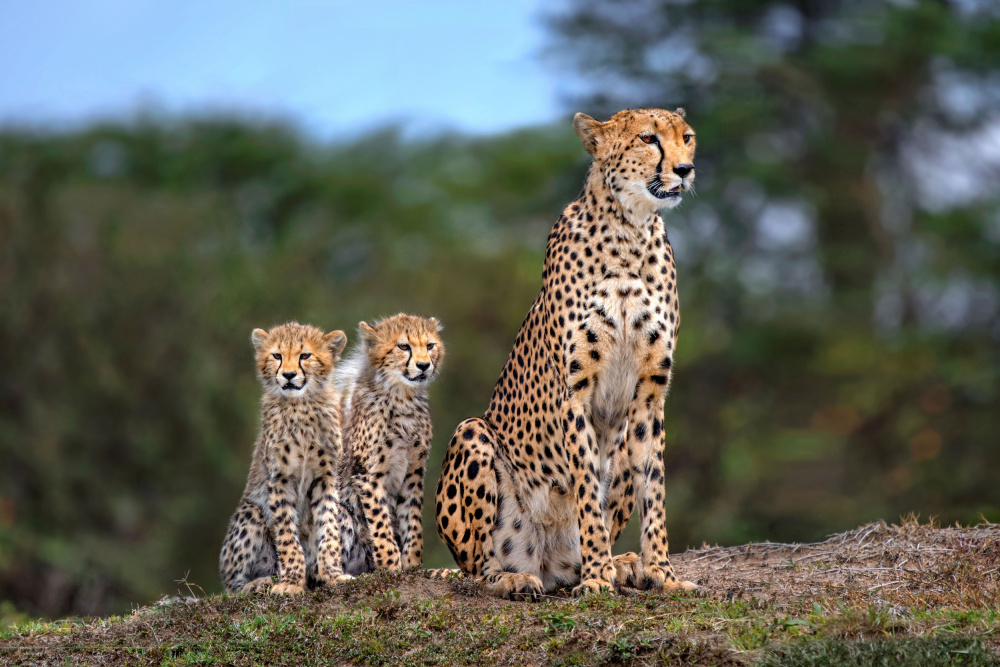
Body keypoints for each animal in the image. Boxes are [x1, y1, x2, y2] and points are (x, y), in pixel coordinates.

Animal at [219, 322, 351, 595]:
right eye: (277, 356)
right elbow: (288, 535)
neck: (299, 406)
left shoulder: (326, 478)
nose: (289, 375)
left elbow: (329, 528)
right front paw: (290, 582)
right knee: (231, 586)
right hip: (251, 512)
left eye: (305, 355)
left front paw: (333, 575)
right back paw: (259, 583)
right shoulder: (279, 479)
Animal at [335, 314, 445, 575]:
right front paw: (391, 565)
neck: (402, 397)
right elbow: (380, 520)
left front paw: (412, 564)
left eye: (430, 345)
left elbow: (411, 519)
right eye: (403, 346)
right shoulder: (367, 473)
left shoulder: (414, 470)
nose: (424, 365)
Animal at [435, 108, 700, 600]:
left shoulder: (650, 395)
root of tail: (548, 564)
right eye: (648, 139)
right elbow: (587, 491)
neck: (629, 230)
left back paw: (624, 565)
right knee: (477, 569)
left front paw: (663, 573)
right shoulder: (575, 393)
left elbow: (654, 488)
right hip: (472, 433)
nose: (685, 169)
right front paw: (597, 577)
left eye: (687, 137)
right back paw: (517, 577)